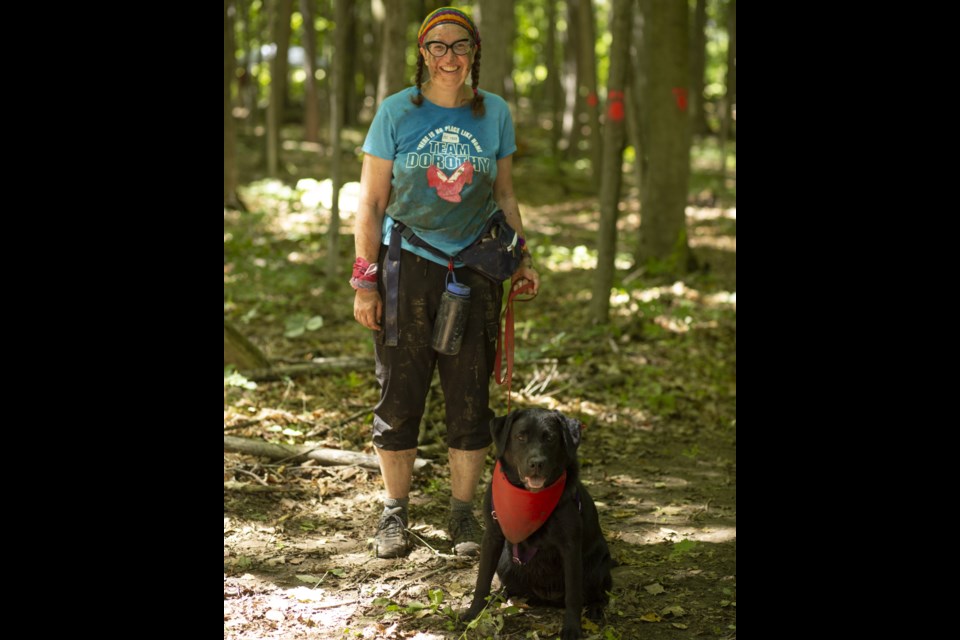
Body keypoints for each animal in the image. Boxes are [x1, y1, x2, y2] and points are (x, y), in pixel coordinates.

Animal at [466, 408, 616, 636]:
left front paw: (572, 628)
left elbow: (574, 594)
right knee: (508, 587)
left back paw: (596, 608)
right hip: (505, 562)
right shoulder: (492, 536)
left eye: (550, 438)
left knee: (600, 593)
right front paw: (474, 613)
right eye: (520, 437)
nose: (536, 463)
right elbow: (482, 580)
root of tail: (546, 598)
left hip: (597, 568)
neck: (529, 499)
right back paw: (498, 597)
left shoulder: (570, 547)